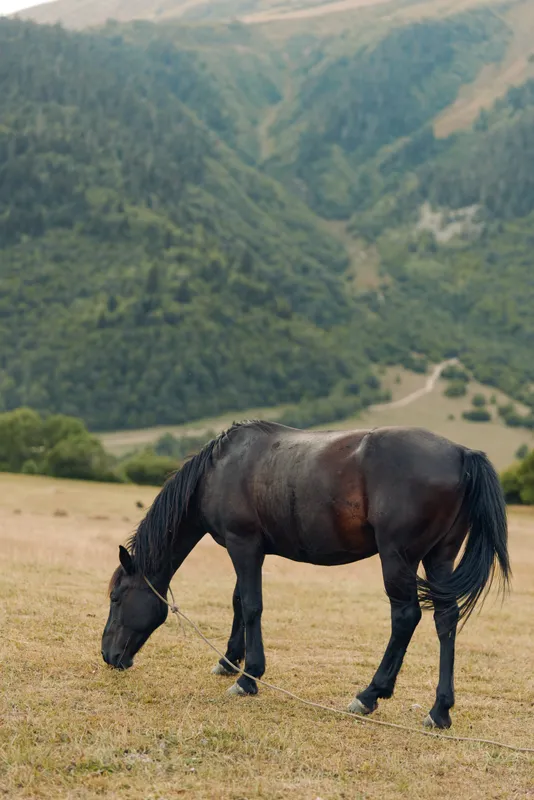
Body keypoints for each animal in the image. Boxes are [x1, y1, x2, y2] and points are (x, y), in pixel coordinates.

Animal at [102, 421, 510, 729]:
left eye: (116, 597)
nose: (108, 655)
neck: (220, 469)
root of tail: (461, 453)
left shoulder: (242, 544)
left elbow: (251, 606)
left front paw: (248, 677)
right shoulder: (249, 549)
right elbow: (238, 601)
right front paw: (229, 661)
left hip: (398, 558)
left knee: (405, 617)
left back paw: (369, 695)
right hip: (440, 558)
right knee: (445, 619)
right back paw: (440, 710)